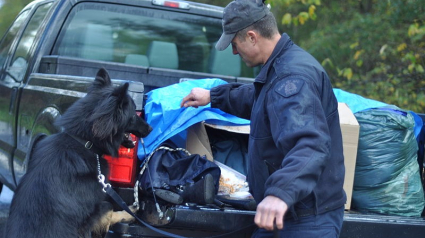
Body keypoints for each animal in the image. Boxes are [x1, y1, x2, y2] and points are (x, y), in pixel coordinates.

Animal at [4, 68, 152, 238]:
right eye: (133, 114)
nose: (151, 128)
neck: (82, 141)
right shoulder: (87, 217)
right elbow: (109, 208)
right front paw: (129, 213)